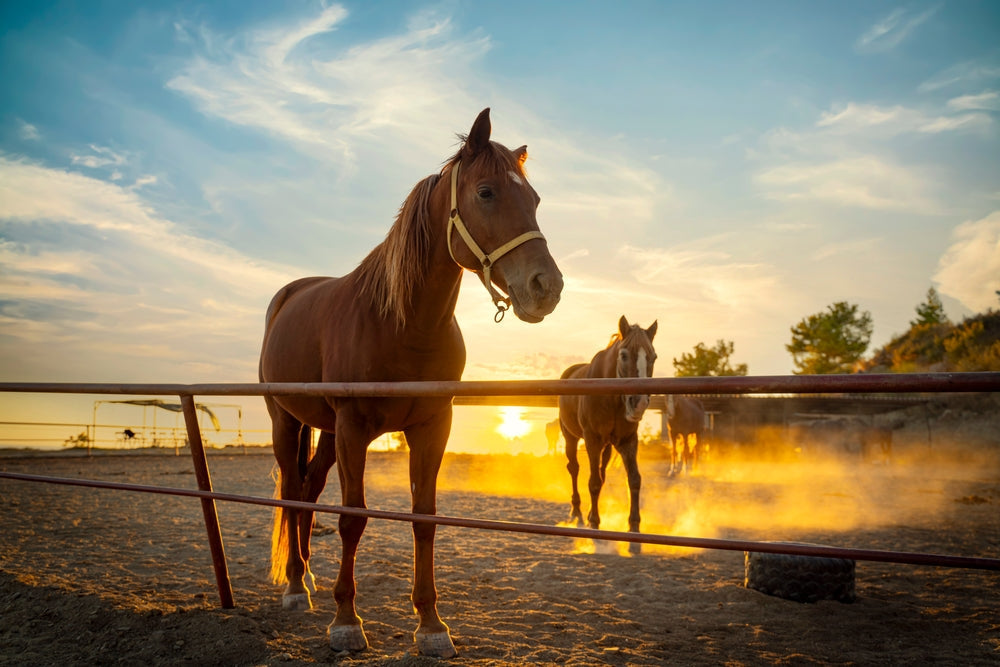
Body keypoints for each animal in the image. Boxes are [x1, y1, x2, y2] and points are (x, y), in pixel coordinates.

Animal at [258, 108, 563, 658]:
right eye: (486, 192)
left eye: (533, 199)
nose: (546, 287)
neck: (400, 323)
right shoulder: (354, 428)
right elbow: (353, 519)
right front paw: (346, 622)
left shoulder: (430, 428)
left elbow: (425, 519)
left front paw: (431, 625)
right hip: (286, 422)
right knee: (292, 490)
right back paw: (294, 587)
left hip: (327, 433)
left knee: (309, 488)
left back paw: (306, 577)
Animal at [558, 315, 657, 554]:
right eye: (624, 355)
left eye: (653, 357)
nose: (639, 403)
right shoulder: (592, 440)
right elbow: (593, 482)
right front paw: (595, 525)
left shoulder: (627, 442)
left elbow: (634, 480)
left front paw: (634, 532)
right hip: (571, 438)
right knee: (574, 469)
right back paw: (577, 513)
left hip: (608, 447)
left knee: (602, 473)